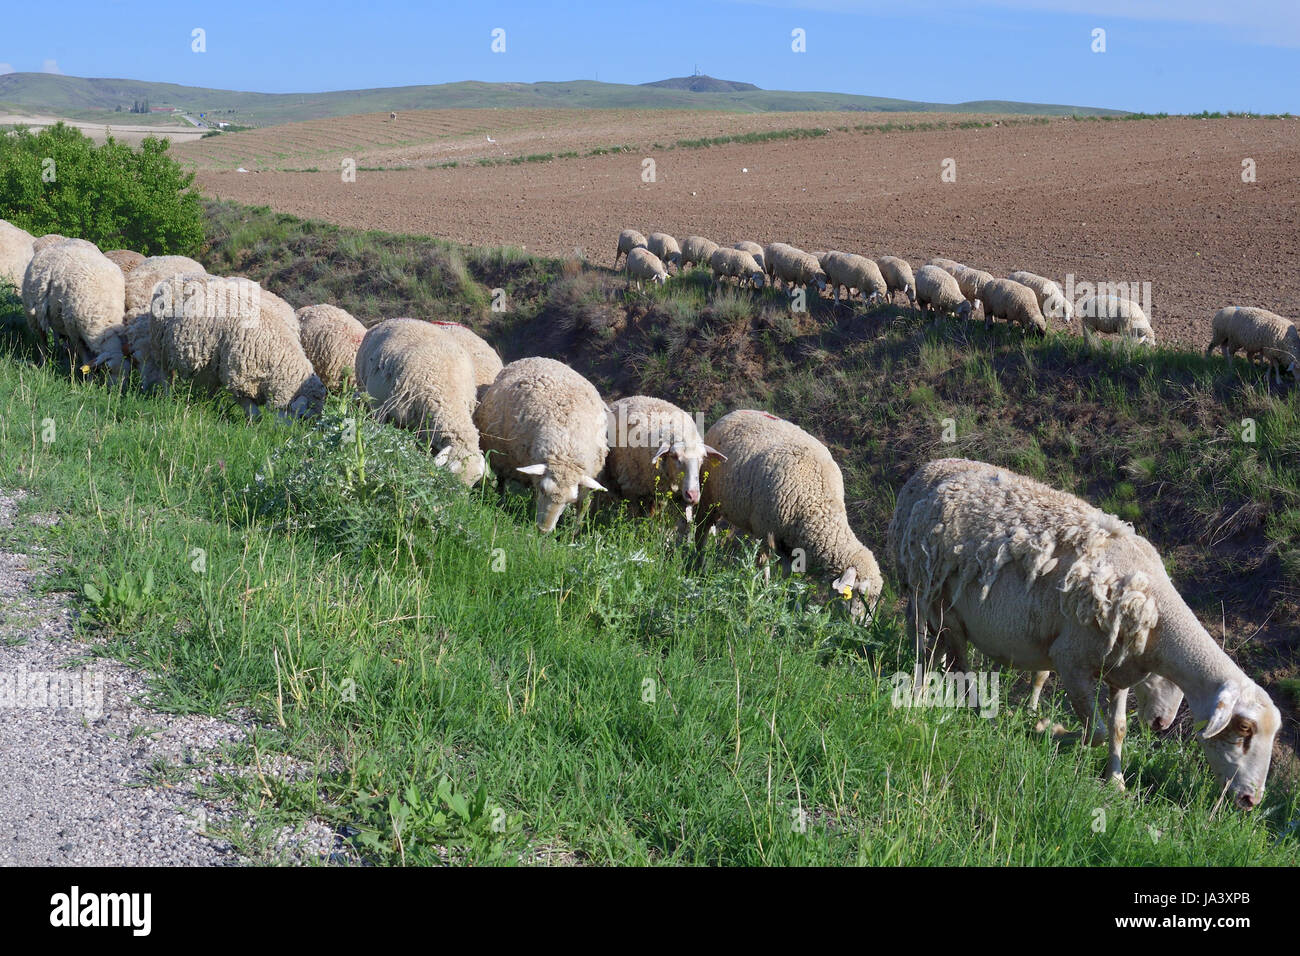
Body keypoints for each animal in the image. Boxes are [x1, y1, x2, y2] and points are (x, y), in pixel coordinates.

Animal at [21, 239, 127, 375]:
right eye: (108, 369)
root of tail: (61, 241)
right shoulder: (75, 332)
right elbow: (85, 358)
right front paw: (88, 378)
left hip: (58, 316)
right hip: (35, 315)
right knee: (43, 340)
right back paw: (43, 362)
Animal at [142, 272, 325, 418]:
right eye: (302, 417)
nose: (283, 435)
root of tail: (173, 277)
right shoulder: (236, 373)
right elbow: (250, 407)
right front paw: (254, 422)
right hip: (161, 347)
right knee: (166, 376)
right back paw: (168, 398)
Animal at [473, 356, 609, 532]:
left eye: (569, 501)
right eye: (543, 490)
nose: (544, 530)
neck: (566, 448)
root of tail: (544, 358)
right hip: (502, 455)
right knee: (502, 480)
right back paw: (500, 502)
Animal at [695, 409, 884, 613]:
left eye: (875, 599)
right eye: (860, 594)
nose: (862, 622)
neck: (817, 507)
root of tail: (736, 412)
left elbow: (789, 580)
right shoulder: (767, 535)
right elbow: (767, 569)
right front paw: (766, 595)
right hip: (708, 497)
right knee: (701, 531)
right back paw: (698, 566)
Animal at [889, 458, 1281, 806]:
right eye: (1244, 730)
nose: (1251, 800)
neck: (1155, 610)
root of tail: (927, 470)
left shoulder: (1119, 671)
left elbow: (1117, 729)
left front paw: (1117, 781)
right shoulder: (1070, 661)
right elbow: (1096, 732)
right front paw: (1050, 729)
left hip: (944, 609)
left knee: (946, 652)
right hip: (927, 591)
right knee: (937, 653)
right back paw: (932, 698)